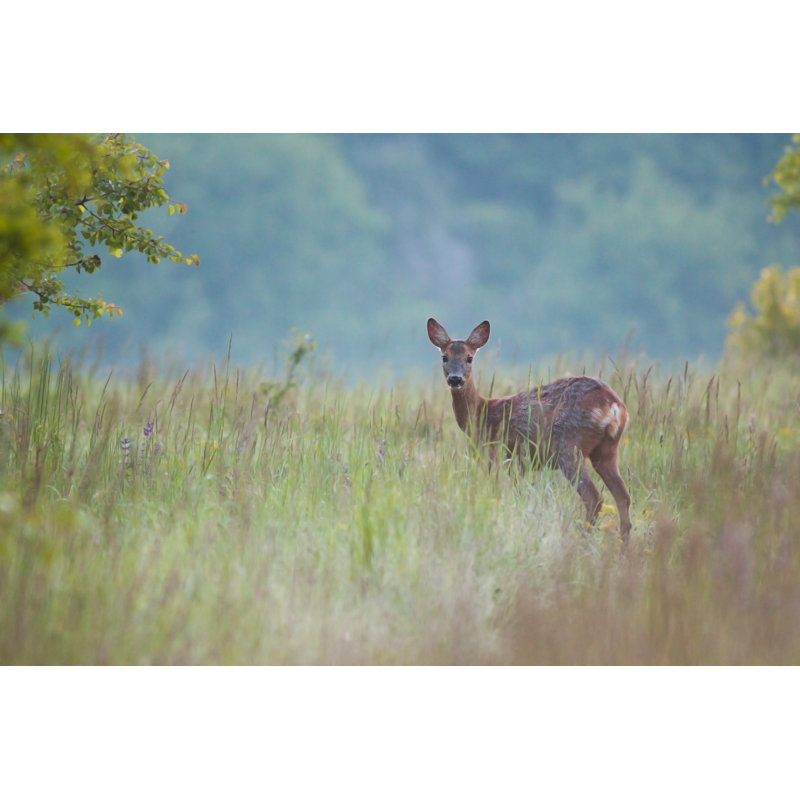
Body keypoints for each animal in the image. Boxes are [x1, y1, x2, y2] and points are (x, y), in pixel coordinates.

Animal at [427, 318, 632, 542]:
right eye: (445, 357)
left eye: (469, 358)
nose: (455, 379)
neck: (482, 414)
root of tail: (614, 406)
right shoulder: (520, 462)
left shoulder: (497, 455)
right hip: (607, 449)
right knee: (623, 496)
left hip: (569, 444)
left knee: (594, 498)